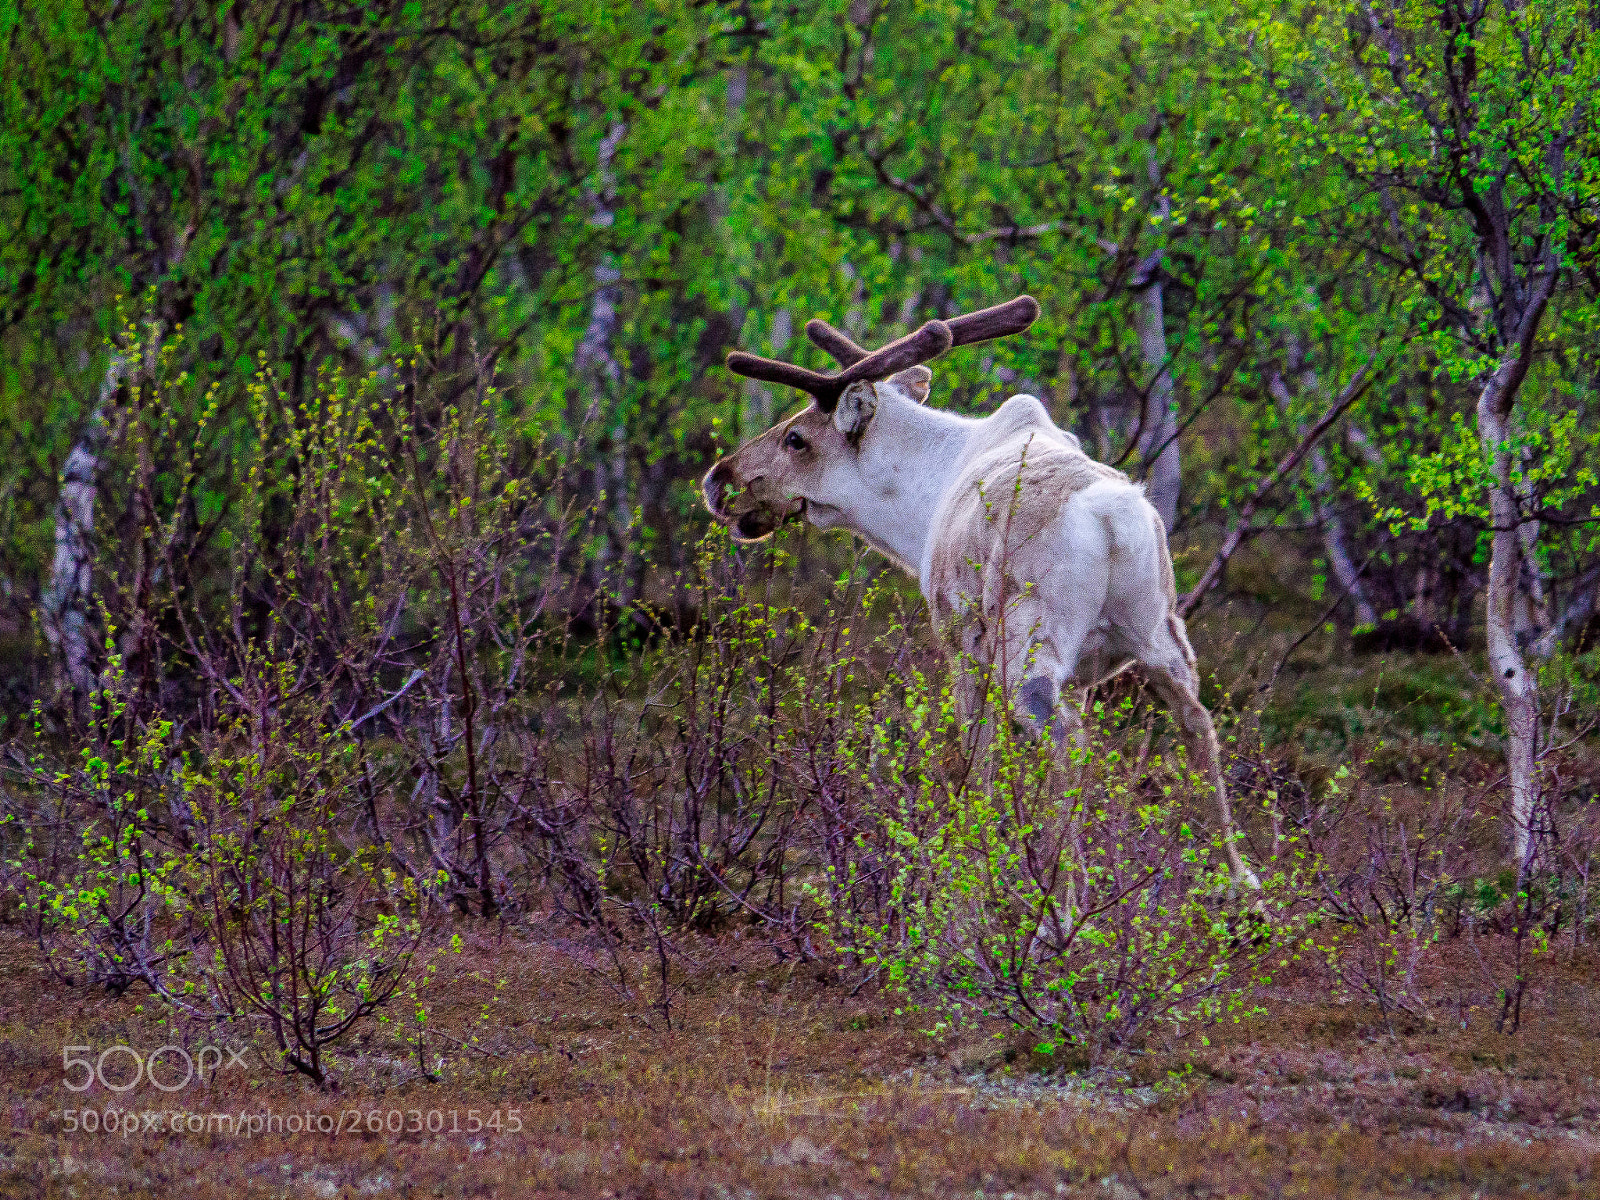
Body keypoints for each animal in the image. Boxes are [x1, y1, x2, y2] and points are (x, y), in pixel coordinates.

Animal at [701, 295, 1259, 889]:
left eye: (796, 438)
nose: (718, 480)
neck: (920, 503)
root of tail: (1109, 518)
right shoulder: (1082, 677)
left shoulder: (960, 640)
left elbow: (978, 758)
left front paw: (973, 855)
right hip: (1161, 634)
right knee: (1196, 721)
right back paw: (1239, 882)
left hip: (1029, 637)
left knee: (1062, 734)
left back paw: (1062, 894)